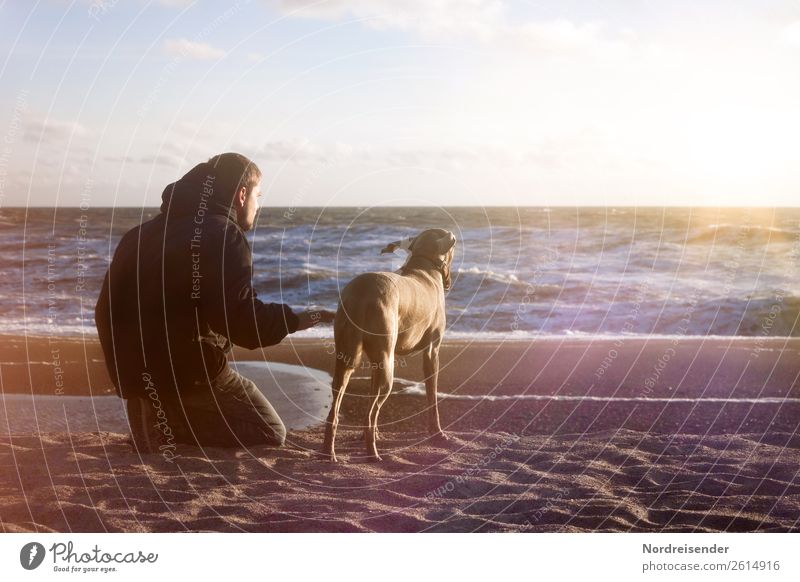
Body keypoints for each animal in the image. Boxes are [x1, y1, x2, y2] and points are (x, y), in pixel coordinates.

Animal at [320, 230, 456, 464]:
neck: (423, 267)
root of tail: (359, 294)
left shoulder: (376, 363)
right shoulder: (432, 352)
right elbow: (432, 397)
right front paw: (437, 433)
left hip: (348, 359)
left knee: (340, 406)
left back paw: (330, 451)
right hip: (387, 364)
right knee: (371, 413)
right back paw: (372, 452)